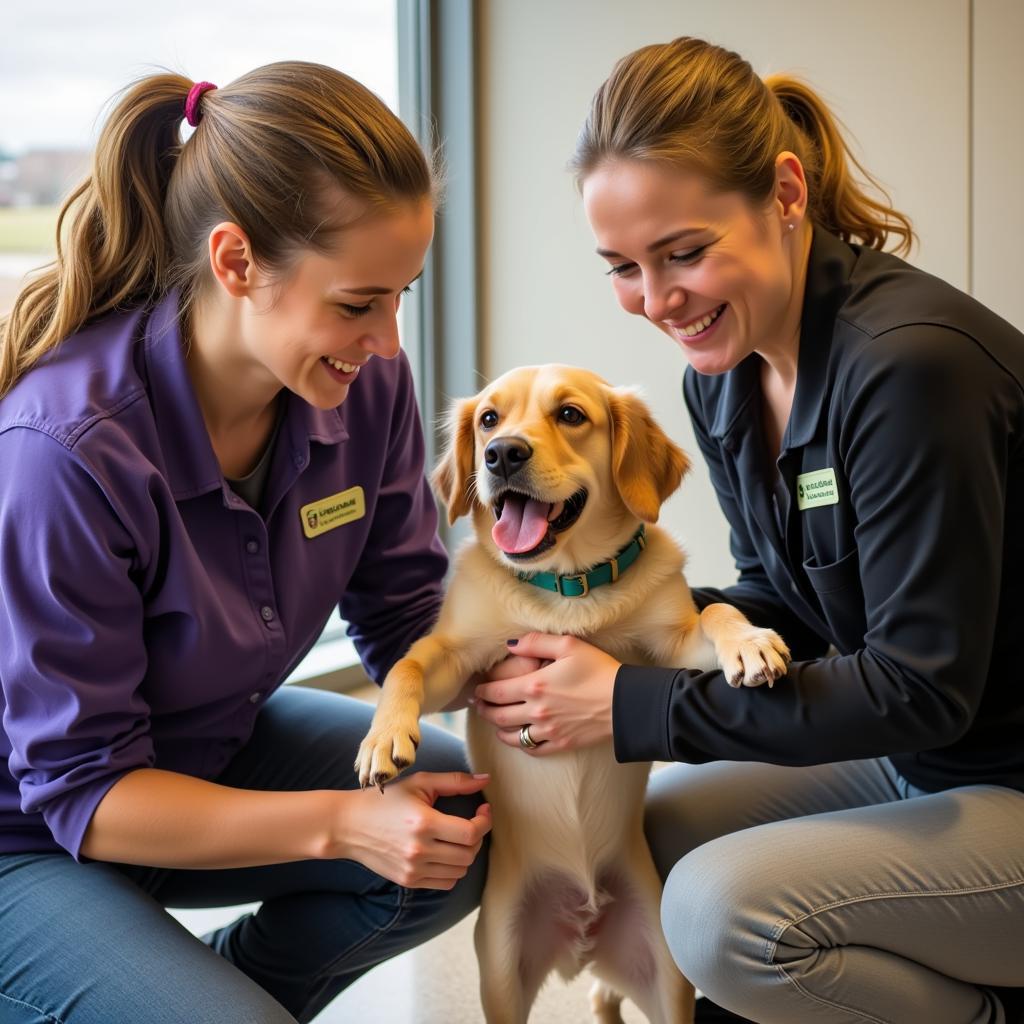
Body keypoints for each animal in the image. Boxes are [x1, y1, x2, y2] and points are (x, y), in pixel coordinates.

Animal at [354, 368, 790, 1024]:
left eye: (570, 415)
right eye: (489, 418)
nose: (502, 453)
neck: (566, 585)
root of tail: (581, 940)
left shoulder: (672, 647)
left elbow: (716, 611)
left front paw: (751, 643)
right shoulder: (461, 667)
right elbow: (407, 663)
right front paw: (384, 740)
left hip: (667, 976)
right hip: (502, 975)